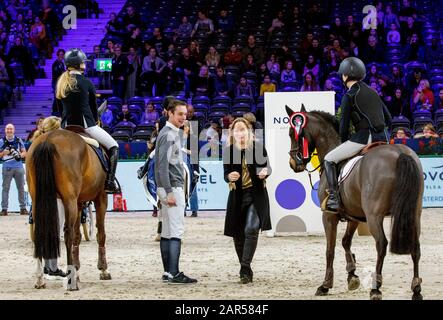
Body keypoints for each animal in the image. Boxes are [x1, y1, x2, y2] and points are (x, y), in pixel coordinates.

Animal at [26, 128, 112, 290]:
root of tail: (47, 139)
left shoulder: (79, 203)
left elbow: (78, 236)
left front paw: (77, 270)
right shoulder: (101, 198)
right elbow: (101, 233)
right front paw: (103, 269)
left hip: (37, 199)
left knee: (39, 232)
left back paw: (40, 280)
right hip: (69, 200)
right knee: (68, 233)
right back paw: (71, 282)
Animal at [286, 105, 424, 300]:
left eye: (292, 133)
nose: (293, 163)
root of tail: (401, 154)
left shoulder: (329, 216)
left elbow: (330, 249)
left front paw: (325, 285)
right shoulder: (354, 216)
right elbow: (345, 242)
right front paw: (352, 275)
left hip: (374, 216)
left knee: (381, 244)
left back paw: (376, 288)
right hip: (414, 213)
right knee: (415, 246)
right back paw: (416, 289)